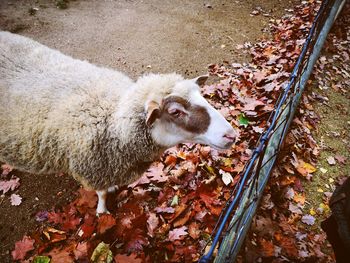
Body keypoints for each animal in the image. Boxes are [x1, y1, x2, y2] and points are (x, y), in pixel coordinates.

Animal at [0, 31, 238, 214]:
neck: (113, 121)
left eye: (201, 95)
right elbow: (102, 193)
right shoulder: (94, 169)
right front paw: (102, 211)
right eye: (175, 112)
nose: (231, 135)